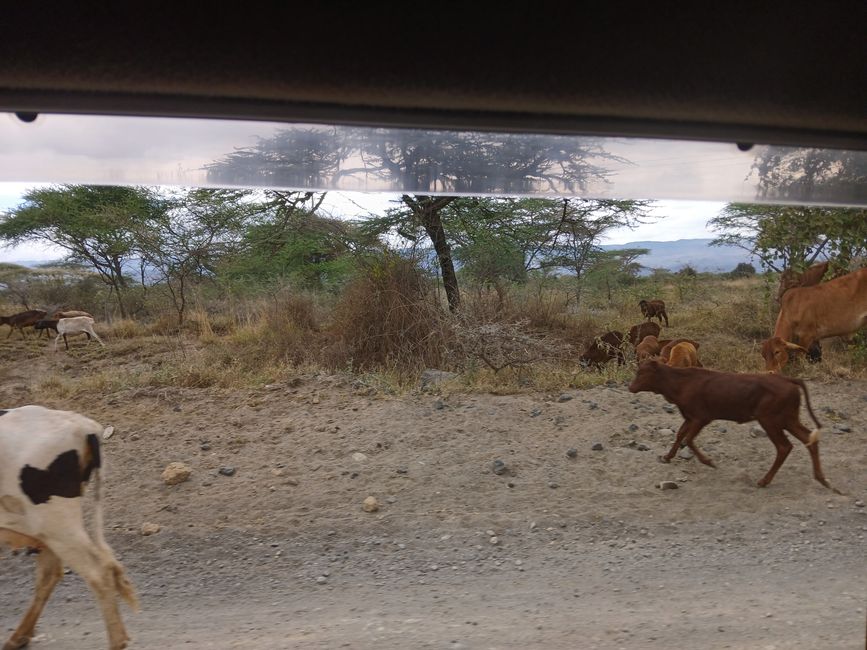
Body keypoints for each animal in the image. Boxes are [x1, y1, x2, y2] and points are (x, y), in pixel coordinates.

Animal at [0, 404, 137, 648]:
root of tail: (82, 425)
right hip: (47, 531)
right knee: (50, 575)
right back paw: (18, 637)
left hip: (57, 523)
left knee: (98, 572)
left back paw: (117, 642)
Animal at [628, 360, 836, 492]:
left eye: (642, 372)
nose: (630, 387)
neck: (681, 383)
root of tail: (787, 379)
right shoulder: (689, 417)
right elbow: (680, 435)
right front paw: (667, 456)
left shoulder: (701, 418)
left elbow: (688, 439)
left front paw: (709, 462)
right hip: (788, 419)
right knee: (808, 438)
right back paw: (821, 479)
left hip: (769, 420)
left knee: (784, 446)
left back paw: (764, 481)